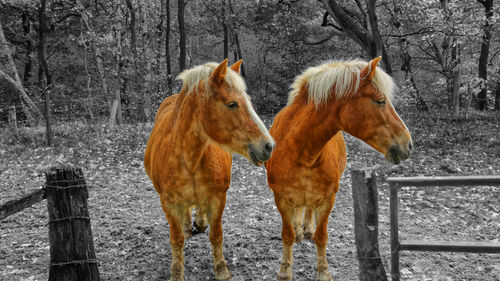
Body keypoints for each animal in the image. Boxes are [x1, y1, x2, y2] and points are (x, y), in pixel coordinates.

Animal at [145, 59, 276, 280]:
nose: (269, 146)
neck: (190, 159)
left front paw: (221, 269)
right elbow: (176, 239)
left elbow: (216, 234)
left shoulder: (218, 197)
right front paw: (177, 273)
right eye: (232, 104)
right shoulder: (168, 203)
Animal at [264, 57, 412, 280]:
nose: (408, 144)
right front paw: (284, 270)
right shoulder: (280, 198)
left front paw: (323, 273)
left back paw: (306, 229)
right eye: (380, 101)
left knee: (308, 210)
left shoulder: (327, 200)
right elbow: (287, 234)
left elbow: (321, 236)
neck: (302, 153)